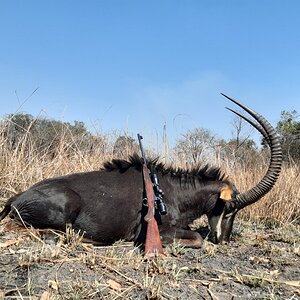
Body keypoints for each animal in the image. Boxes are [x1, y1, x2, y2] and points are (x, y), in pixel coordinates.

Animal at [0, 95, 282, 247]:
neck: (175, 191)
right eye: (230, 208)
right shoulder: (160, 230)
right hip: (66, 206)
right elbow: (196, 238)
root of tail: (16, 198)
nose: (224, 240)